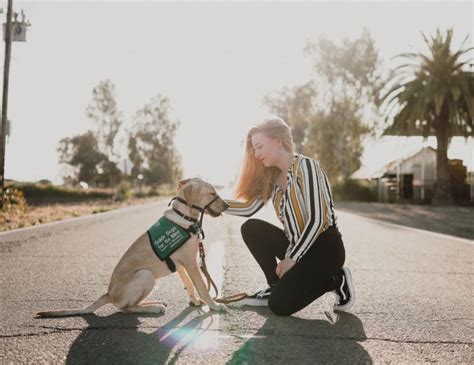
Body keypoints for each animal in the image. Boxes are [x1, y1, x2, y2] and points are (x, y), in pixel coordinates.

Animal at [36, 177, 229, 316]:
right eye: (212, 193)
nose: (227, 205)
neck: (184, 217)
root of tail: (109, 294)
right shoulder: (191, 262)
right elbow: (202, 287)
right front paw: (214, 305)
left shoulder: (182, 265)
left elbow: (189, 285)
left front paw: (195, 302)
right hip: (146, 275)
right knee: (125, 308)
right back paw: (153, 308)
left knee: (132, 304)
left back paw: (154, 303)